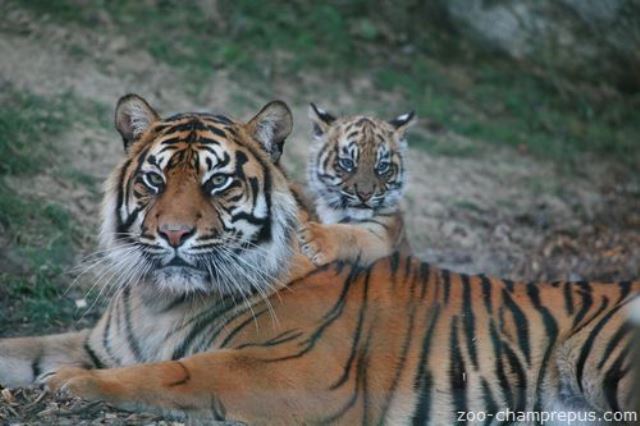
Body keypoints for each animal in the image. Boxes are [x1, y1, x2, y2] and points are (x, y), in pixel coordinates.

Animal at [298, 104, 412, 266]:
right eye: (348, 163)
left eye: (382, 166)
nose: (365, 194)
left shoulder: (380, 236)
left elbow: (350, 233)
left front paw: (315, 237)